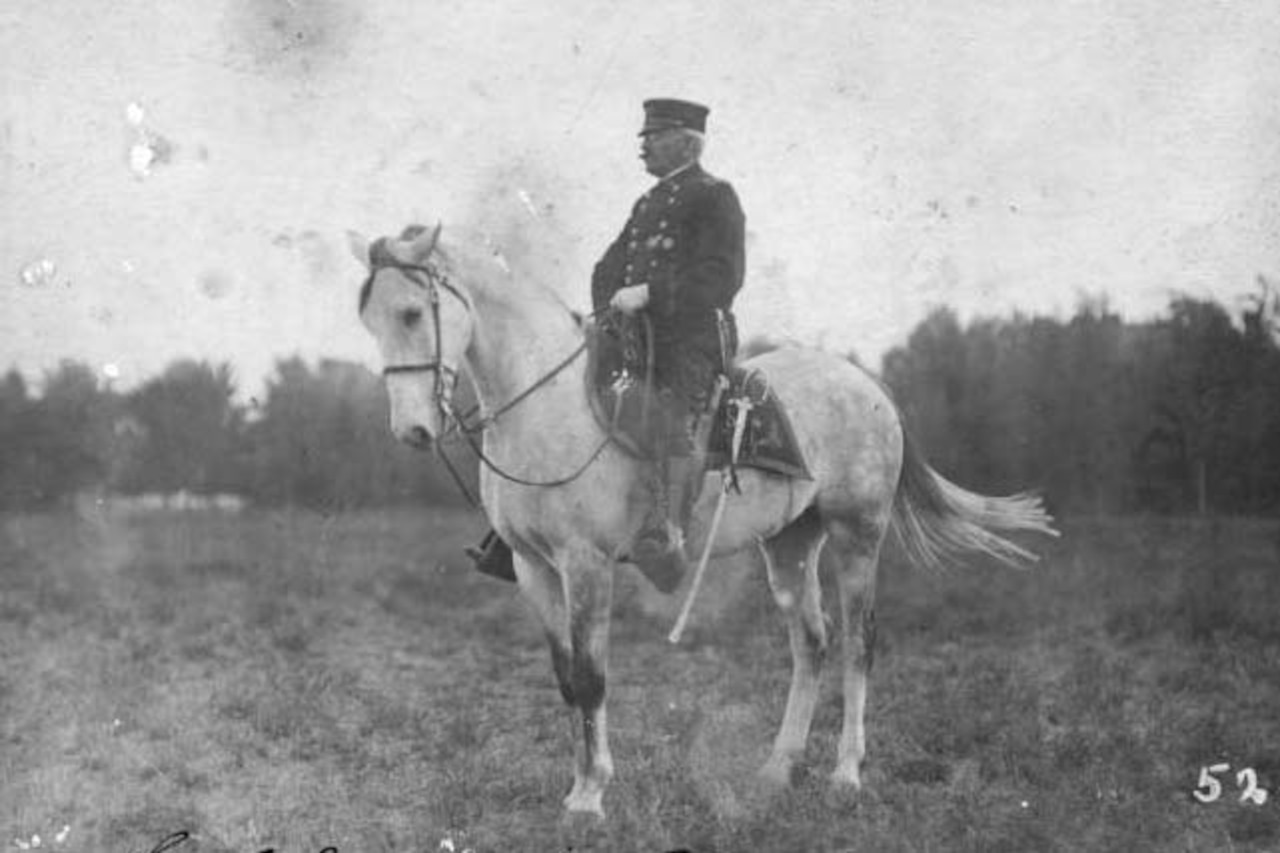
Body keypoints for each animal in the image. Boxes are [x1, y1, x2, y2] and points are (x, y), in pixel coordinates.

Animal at [350, 220, 1059, 819]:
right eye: (369, 320)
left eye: (410, 312)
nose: (412, 431)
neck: (548, 409)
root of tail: (870, 386)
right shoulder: (533, 568)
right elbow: (566, 679)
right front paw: (576, 787)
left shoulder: (587, 565)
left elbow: (592, 677)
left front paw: (591, 797)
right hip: (790, 543)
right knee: (812, 642)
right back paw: (777, 769)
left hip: (858, 535)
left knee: (860, 644)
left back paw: (846, 775)